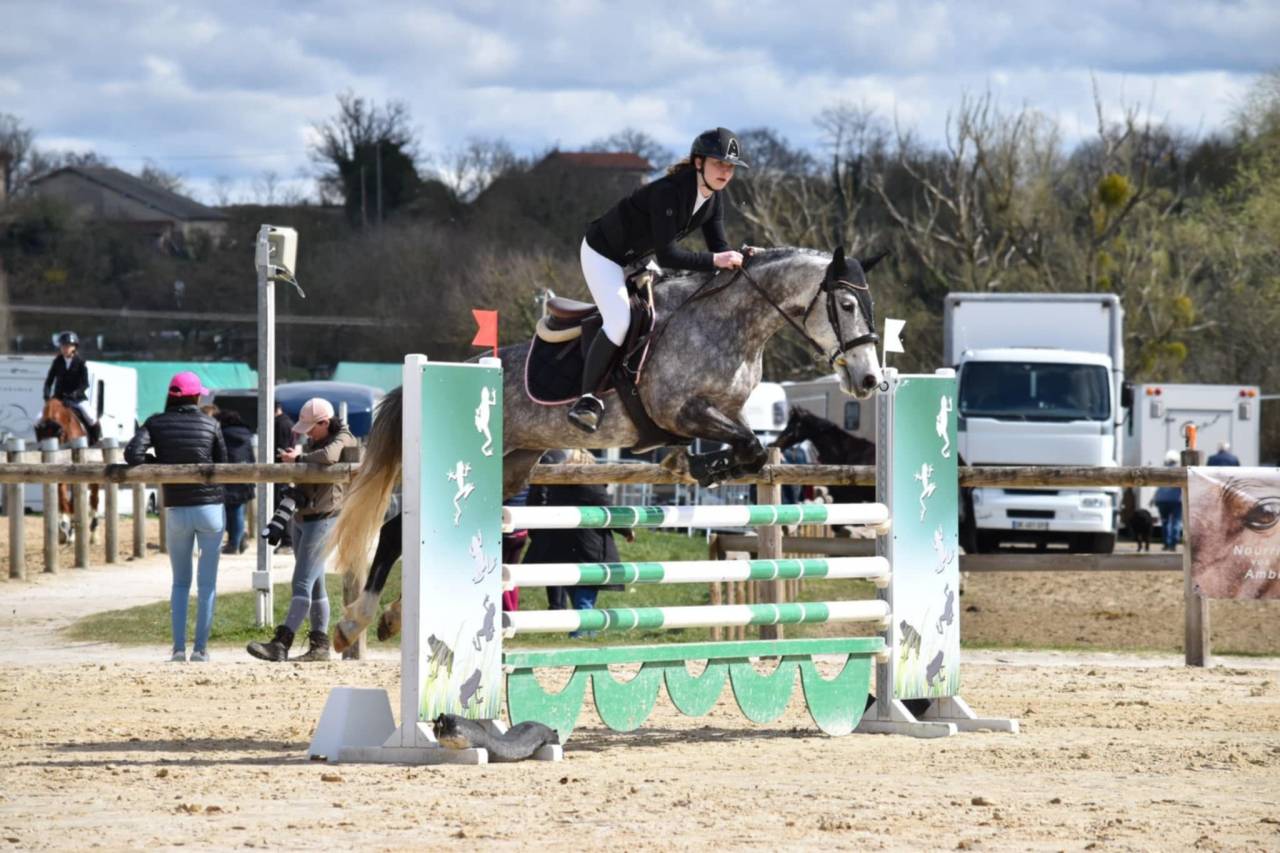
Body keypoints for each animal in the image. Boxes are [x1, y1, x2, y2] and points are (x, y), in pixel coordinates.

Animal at [34, 397, 101, 545]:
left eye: (59, 434)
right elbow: (63, 498)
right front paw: (64, 528)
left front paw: (71, 529)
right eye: (39, 437)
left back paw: (93, 534)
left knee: (94, 497)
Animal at [328, 246, 887, 650]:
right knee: (396, 533)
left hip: (512, 465)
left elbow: (751, 448)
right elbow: (746, 443)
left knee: (419, 532)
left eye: (868, 305)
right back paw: (355, 623)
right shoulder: (680, 411)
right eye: (845, 305)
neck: (730, 326)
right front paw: (696, 464)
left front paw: (695, 465)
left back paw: (390, 618)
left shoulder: (722, 414)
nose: (869, 380)